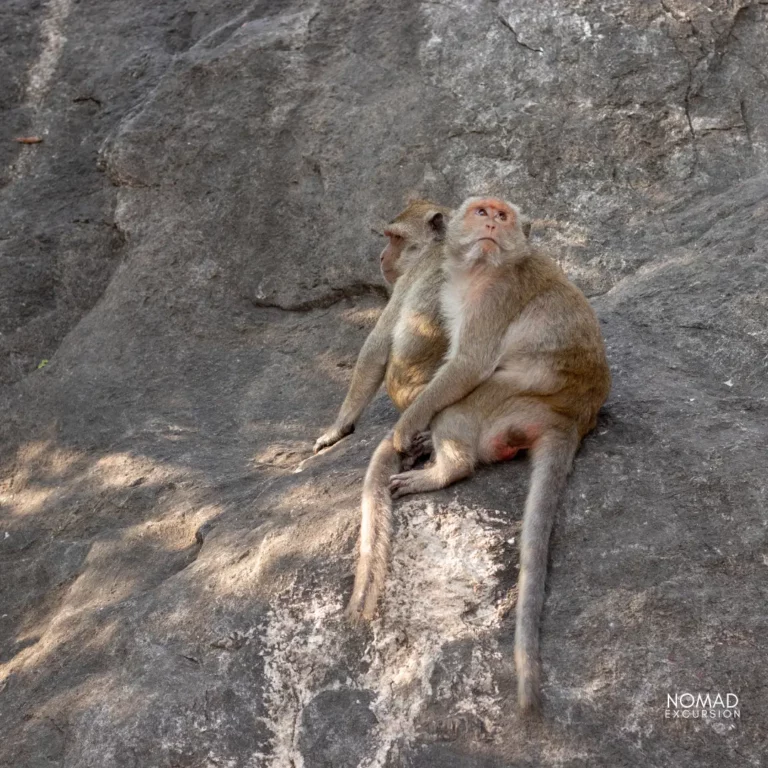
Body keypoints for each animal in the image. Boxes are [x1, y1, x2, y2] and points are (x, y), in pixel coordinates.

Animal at [390, 196, 612, 712]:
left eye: (502, 215)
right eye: (481, 210)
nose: (491, 220)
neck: (481, 270)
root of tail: (572, 418)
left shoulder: (496, 297)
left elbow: (466, 366)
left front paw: (406, 426)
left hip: (510, 400)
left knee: (461, 407)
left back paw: (444, 470)